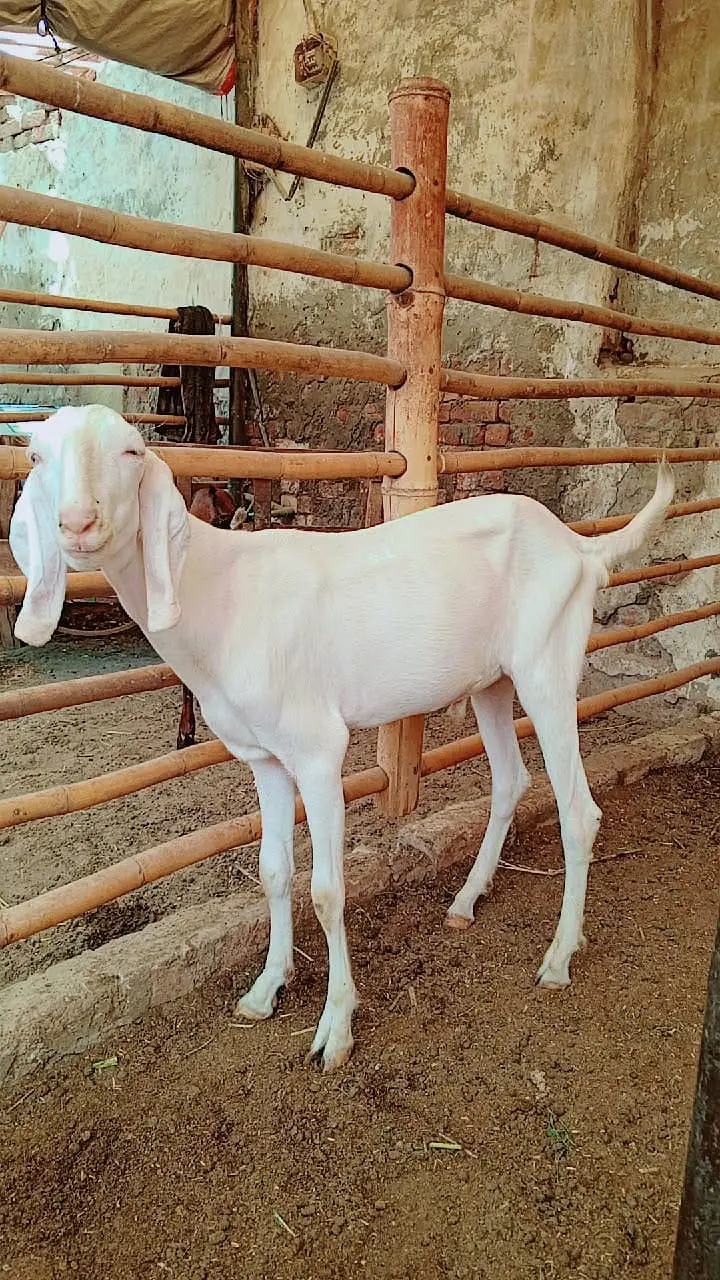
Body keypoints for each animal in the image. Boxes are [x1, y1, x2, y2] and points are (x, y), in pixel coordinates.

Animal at [10, 406, 674, 1071]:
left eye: (132, 451)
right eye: (37, 457)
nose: (78, 523)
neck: (220, 593)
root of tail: (580, 547)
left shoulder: (317, 750)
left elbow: (327, 891)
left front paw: (336, 1028)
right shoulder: (265, 756)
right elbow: (273, 871)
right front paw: (265, 990)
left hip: (547, 668)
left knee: (579, 811)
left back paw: (559, 957)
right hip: (493, 680)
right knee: (511, 780)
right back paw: (465, 901)